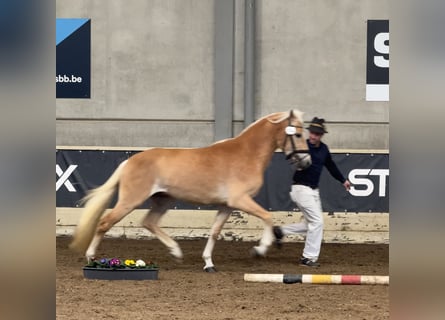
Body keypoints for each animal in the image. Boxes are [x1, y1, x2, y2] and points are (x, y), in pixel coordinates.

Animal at [70, 109, 312, 270]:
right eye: (299, 135)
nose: (306, 162)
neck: (247, 154)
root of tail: (130, 161)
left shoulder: (227, 206)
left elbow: (214, 232)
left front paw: (208, 263)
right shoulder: (240, 200)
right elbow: (267, 216)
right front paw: (260, 250)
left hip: (163, 199)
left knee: (149, 222)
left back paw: (176, 252)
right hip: (131, 200)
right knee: (105, 222)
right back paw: (91, 258)